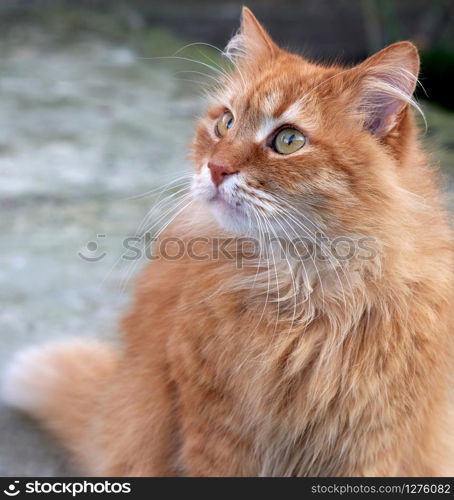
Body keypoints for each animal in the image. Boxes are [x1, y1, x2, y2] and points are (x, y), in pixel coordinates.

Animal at [3, 7, 454, 476]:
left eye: (288, 140)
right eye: (226, 123)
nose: (216, 168)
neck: (304, 294)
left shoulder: (372, 443)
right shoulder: (216, 426)